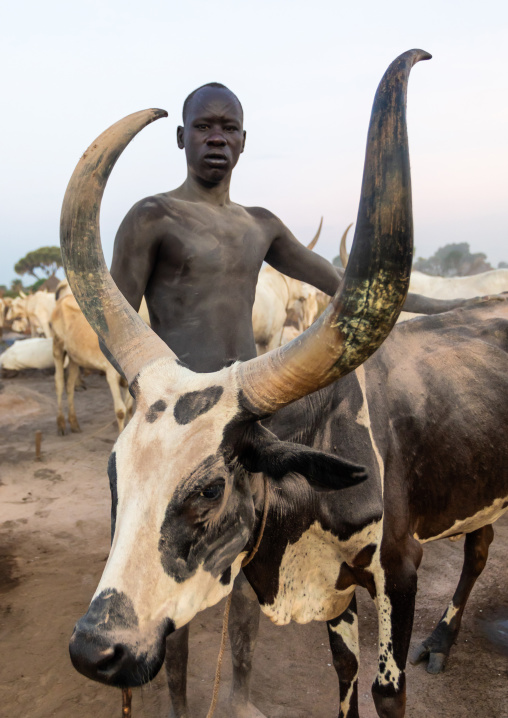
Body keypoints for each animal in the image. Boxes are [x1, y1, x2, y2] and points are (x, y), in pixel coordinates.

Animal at [61, 51, 507, 718]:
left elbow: (386, 690)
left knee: (477, 554)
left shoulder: (400, 567)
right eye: (114, 473)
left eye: (210, 490)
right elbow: (345, 672)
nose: (95, 650)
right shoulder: (332, 587)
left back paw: (441, 641)